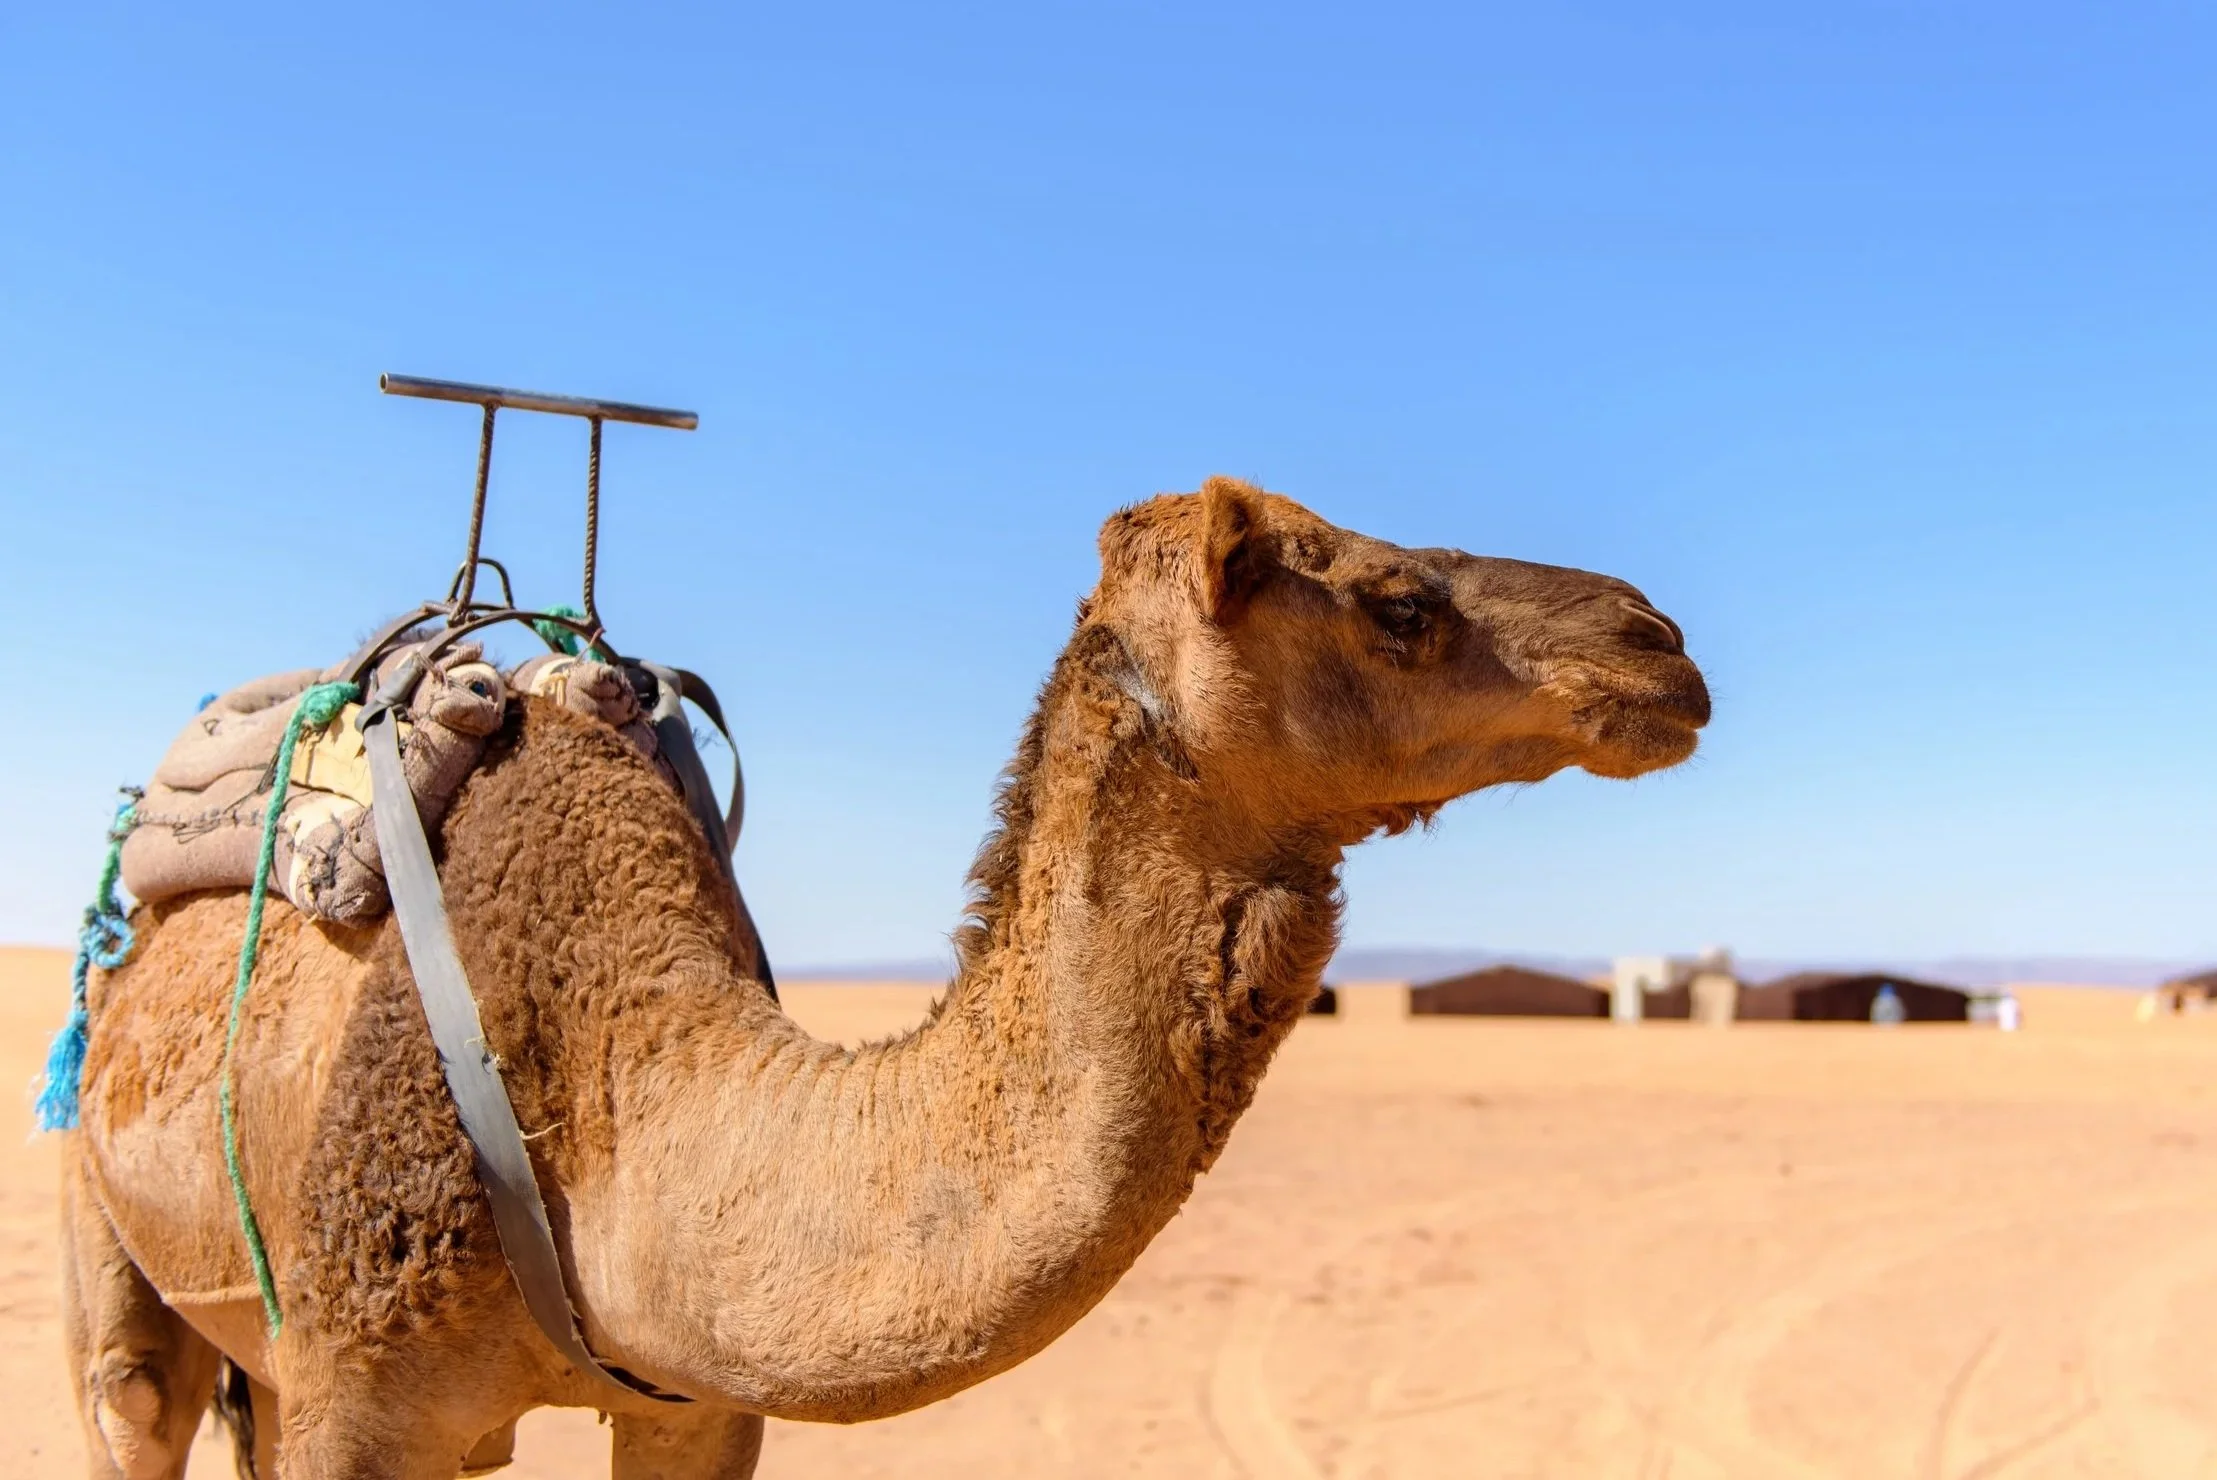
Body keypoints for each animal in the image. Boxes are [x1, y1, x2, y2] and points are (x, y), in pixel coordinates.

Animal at [59, 478, 1709, 1479]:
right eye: (1398, 606)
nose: (1660, 641)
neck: (598, 1115)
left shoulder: (704, 1407)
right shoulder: (360, 1395)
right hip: (101, 1200)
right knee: (130, 1396)